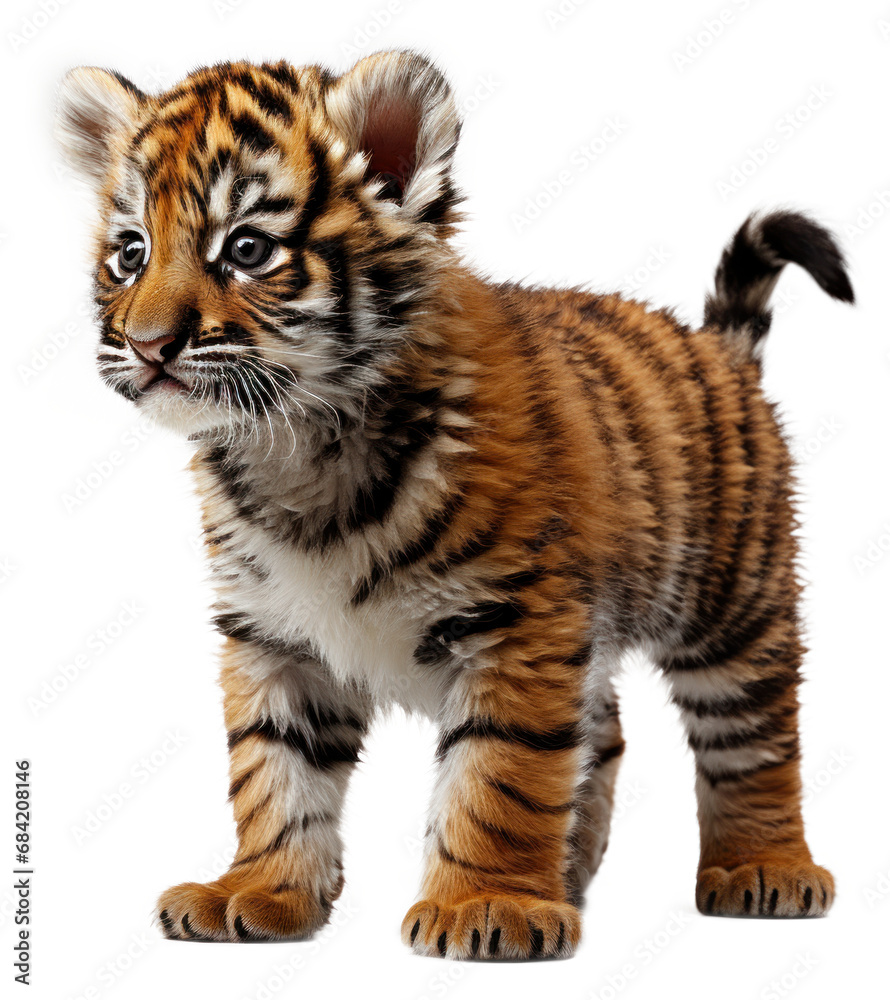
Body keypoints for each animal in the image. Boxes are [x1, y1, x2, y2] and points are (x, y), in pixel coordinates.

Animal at [56, 50, 854, 959]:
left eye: (248, 249)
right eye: (131, 254)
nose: (147, 344)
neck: (297, 446)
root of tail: (717, 347)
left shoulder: (520, 624)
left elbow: (502, 773)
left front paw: (487, 905)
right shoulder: (272, 636)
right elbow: (273, 771)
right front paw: (258, 892)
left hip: (733, 604)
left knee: (752, 738)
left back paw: (763, 870)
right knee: (606, 731)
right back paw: (572, 876)